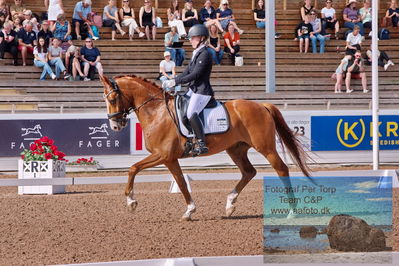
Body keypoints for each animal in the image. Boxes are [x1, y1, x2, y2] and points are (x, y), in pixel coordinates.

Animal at [98, 74, 310, 220]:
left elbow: (135, 168)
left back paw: (292, 211)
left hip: (265, 148)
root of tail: (263, 105)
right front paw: (189, 211)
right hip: (236, 149)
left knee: (281, 169)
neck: (156, 112)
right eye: (105, 100)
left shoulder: (164, 156)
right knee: (249, 172)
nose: (115, 126)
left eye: (112, 99)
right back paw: (230, 204)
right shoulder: (169, 158)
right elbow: (179, 182)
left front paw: (131, 202)